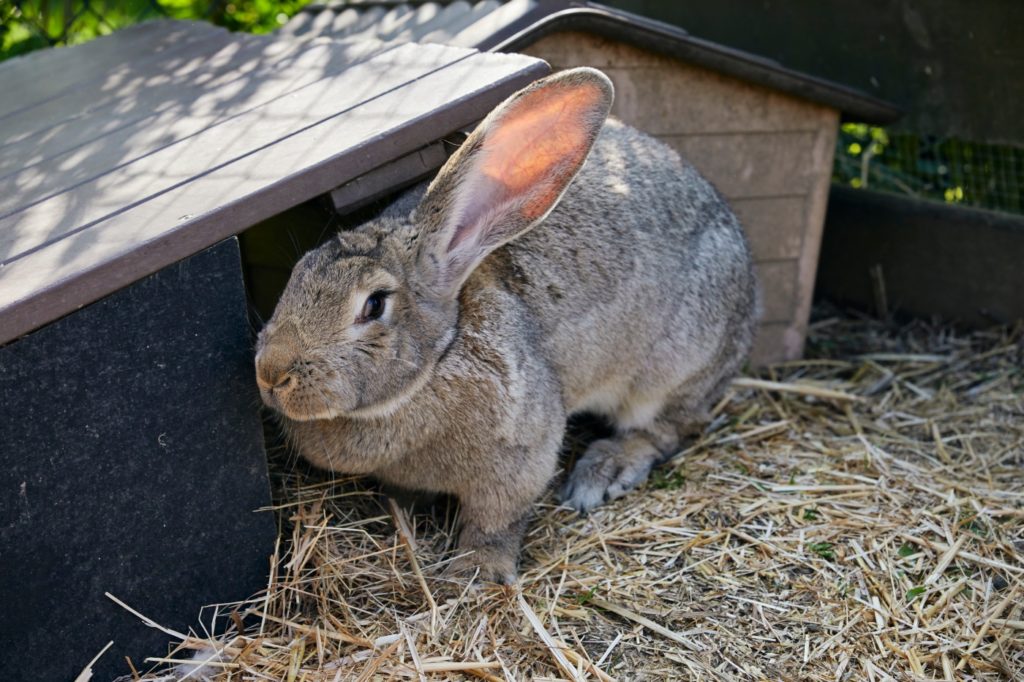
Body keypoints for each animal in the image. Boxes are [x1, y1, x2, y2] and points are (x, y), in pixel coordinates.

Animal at [251, 66, 757, 581]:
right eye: (296, 274)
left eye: (373, 306)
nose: (270, 374)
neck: (437, 360)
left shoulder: (518, 456)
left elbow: (497, 518)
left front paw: (476, 574)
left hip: (674, 366)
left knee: (669, 428)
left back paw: (605, 470)